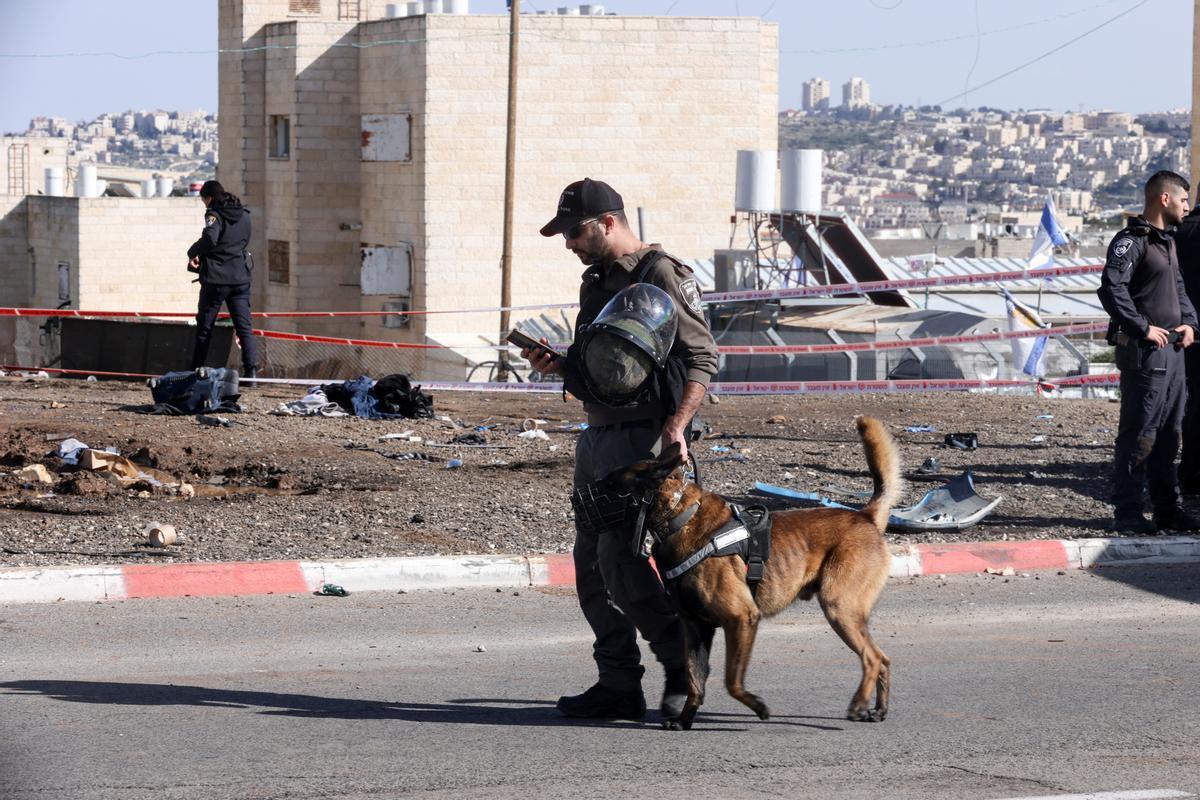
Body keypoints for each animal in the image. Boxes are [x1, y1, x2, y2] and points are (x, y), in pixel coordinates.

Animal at [600, 417, 902, 729]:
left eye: (612, 480)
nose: (593, 486)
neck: (680, 516)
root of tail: (864, 516)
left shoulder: (742, 618)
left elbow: (731, 681)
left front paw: (757, 706)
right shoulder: (696, 627)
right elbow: (696, 679)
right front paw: (685, 719)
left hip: (839, 608)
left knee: (871, 658)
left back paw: (858, 704)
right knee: (883, 659)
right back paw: (879, 709)